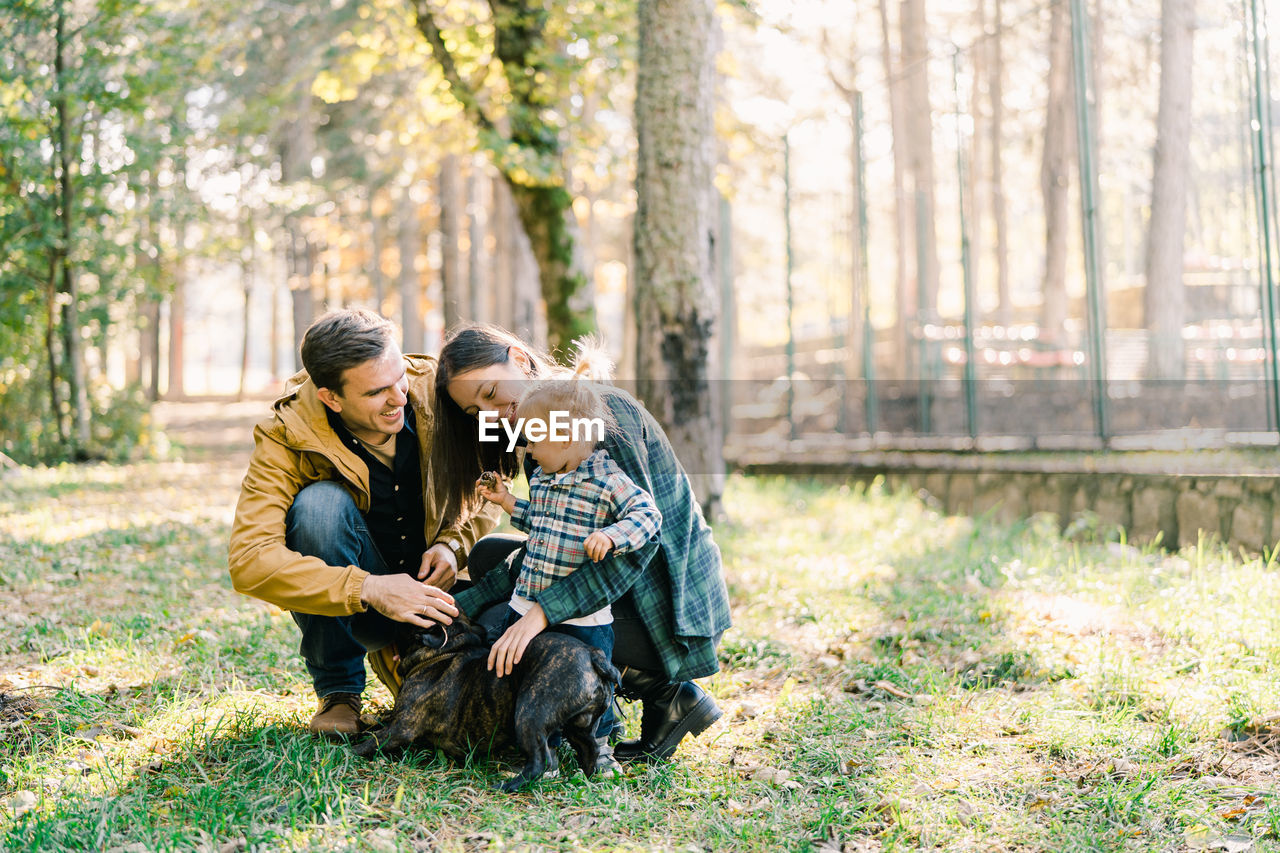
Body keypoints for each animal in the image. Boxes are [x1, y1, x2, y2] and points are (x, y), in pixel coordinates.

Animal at [350, 612, 619, 788]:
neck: (444, 651)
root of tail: (593, 655)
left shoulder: (400, 729)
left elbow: (369, 742)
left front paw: (345, 751)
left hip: (529, 713)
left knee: (538, 762)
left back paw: (508, 786)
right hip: (581, 726)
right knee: (590, 748)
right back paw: (589, 778)